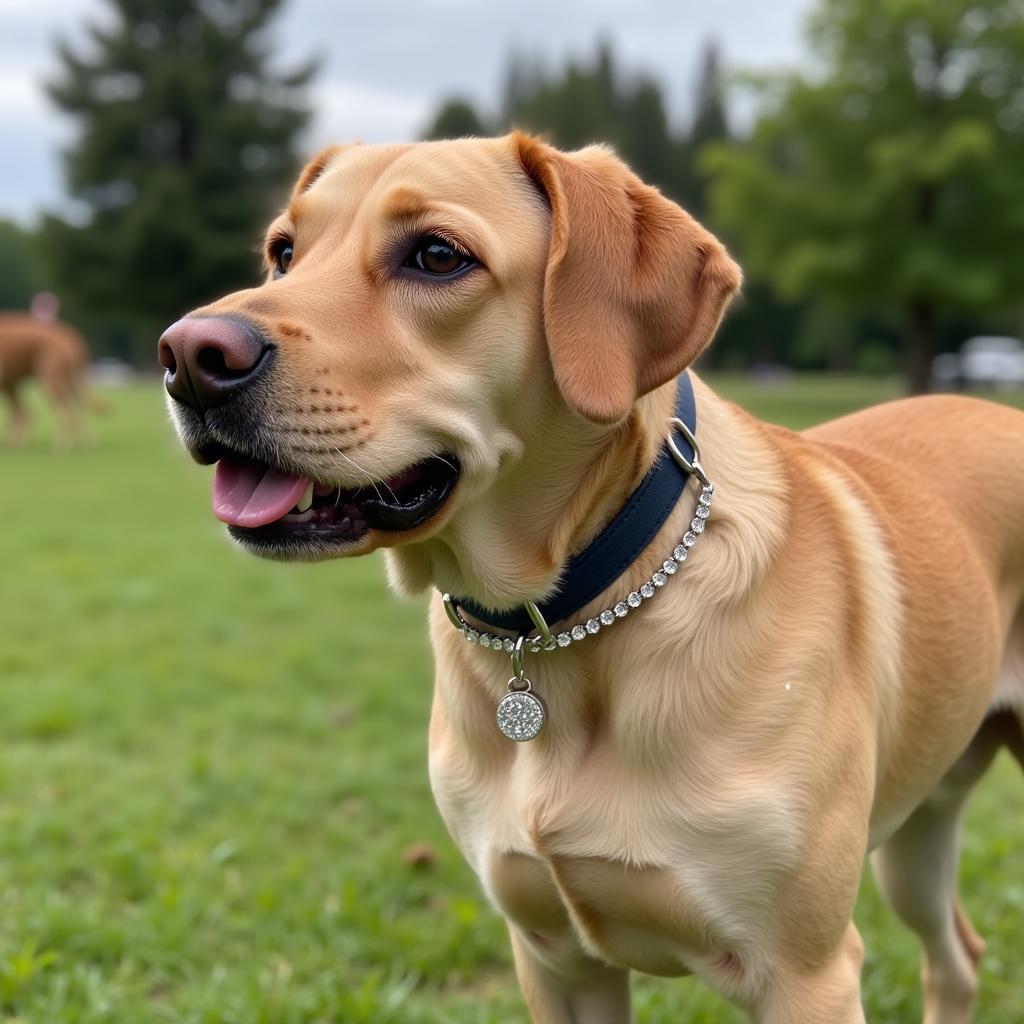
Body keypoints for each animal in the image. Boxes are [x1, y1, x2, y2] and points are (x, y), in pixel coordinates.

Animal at [0, 313, 93, 446]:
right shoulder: (9, 384)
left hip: (51, 382)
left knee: (65, 415)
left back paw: (62, 444)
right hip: (69, 383)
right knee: (76, 411)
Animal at [157, 136, 1024, 1024]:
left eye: (437, 255)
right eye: (282, 253)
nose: (188, 356)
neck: (576, 613)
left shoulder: (802, 972)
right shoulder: (553, 957)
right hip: (918, 829)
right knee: (957, 956)